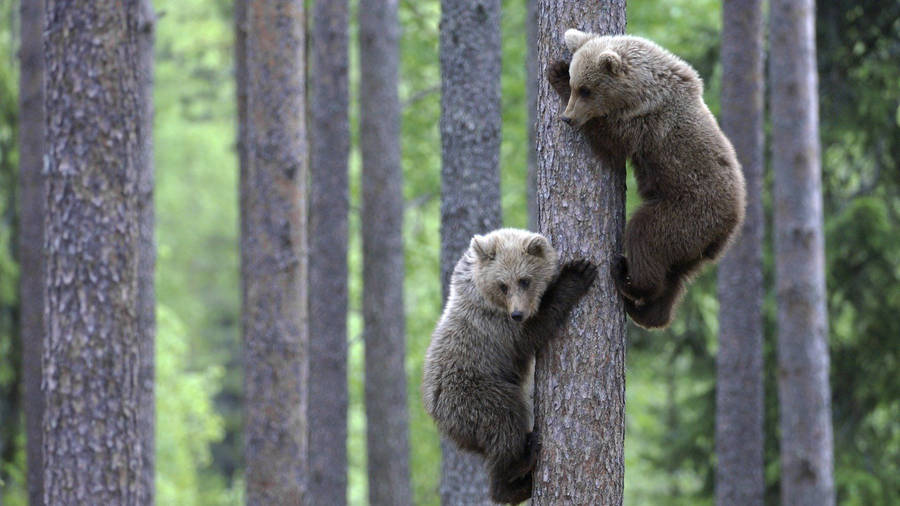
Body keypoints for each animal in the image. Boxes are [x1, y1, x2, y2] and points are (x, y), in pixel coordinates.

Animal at [422, 228, 597, 504]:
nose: (517, 313)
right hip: (474, 393)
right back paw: (520, 463)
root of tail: (436, 412)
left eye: (524, 280)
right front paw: (577, 273)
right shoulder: (497, 327)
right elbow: (534, 330)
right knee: (505, 419)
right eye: (502, 285)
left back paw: (518, 484)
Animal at [547, 29, 746, 329]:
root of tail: (730, 224)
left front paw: (555, 72)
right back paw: (648, 311)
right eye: (576, 85)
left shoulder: (646, 126)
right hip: (694, 246)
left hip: (686, 213)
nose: (568, 118)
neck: (641, 91)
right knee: (675, 276)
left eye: (585, 89)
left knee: (646, 236)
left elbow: (611, 142)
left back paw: (626, 277)